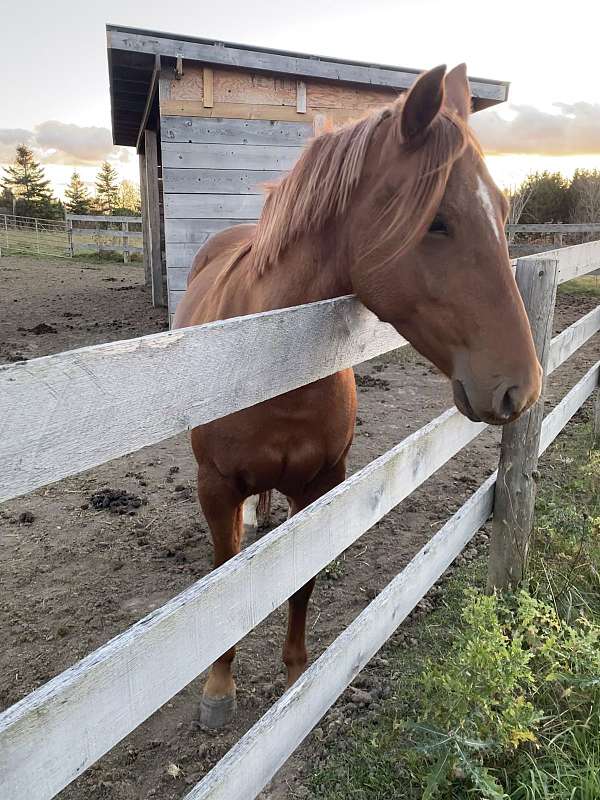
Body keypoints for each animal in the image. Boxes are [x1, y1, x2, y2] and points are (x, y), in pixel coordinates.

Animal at [172, 64, 540, 724]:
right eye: (438, 220)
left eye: (502, 211)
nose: (522, 387)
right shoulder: (214, 486)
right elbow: (223, 584)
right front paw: (218, 690)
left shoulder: (324, 482)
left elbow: (302, 581)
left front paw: (297, 677)